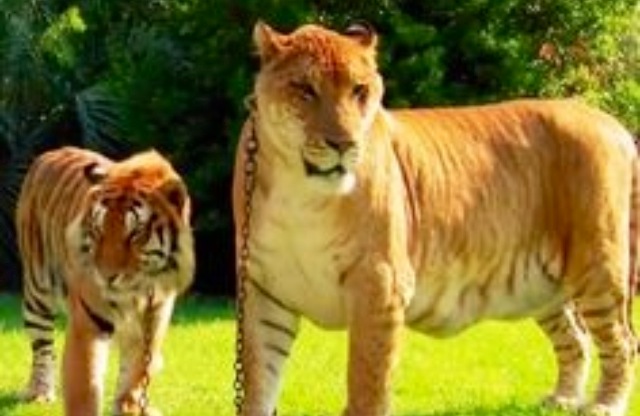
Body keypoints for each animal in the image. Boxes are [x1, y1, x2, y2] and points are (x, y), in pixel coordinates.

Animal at [17, 146, 194, 416]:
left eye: (136, 233)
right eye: (99, 229)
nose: (106, 275)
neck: (136, 293)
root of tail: (50, 153)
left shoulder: (154, 322)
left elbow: (135, 375)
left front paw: (128, 406)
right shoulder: (87, 325)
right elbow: (85, 387)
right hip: (38, 292)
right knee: (42, 347)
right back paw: (40, 393)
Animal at [232, 21, 639, 416]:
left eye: (359, 90)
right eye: (304, 89)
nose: (344, 144)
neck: (300, 194)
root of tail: (612, 123)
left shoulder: (381, 283)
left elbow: (367, 380)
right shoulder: (262, 289)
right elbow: (257, 382)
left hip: (599, 266)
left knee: (622, 341)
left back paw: (604, 405)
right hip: (546, 286)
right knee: (575, 338)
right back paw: (563, 400)